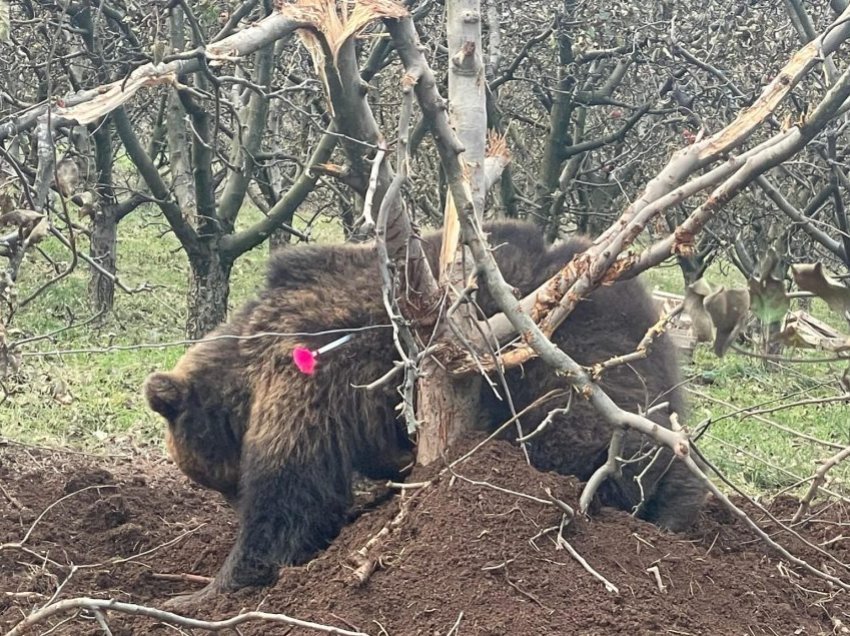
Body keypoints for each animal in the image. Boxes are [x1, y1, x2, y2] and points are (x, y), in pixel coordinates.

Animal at [144, 221, 704, 604]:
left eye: (219, 480)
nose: (229, 499)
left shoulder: (310, 377)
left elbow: (292, 493)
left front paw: (205, 590)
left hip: (560, 370)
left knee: (581, 446)